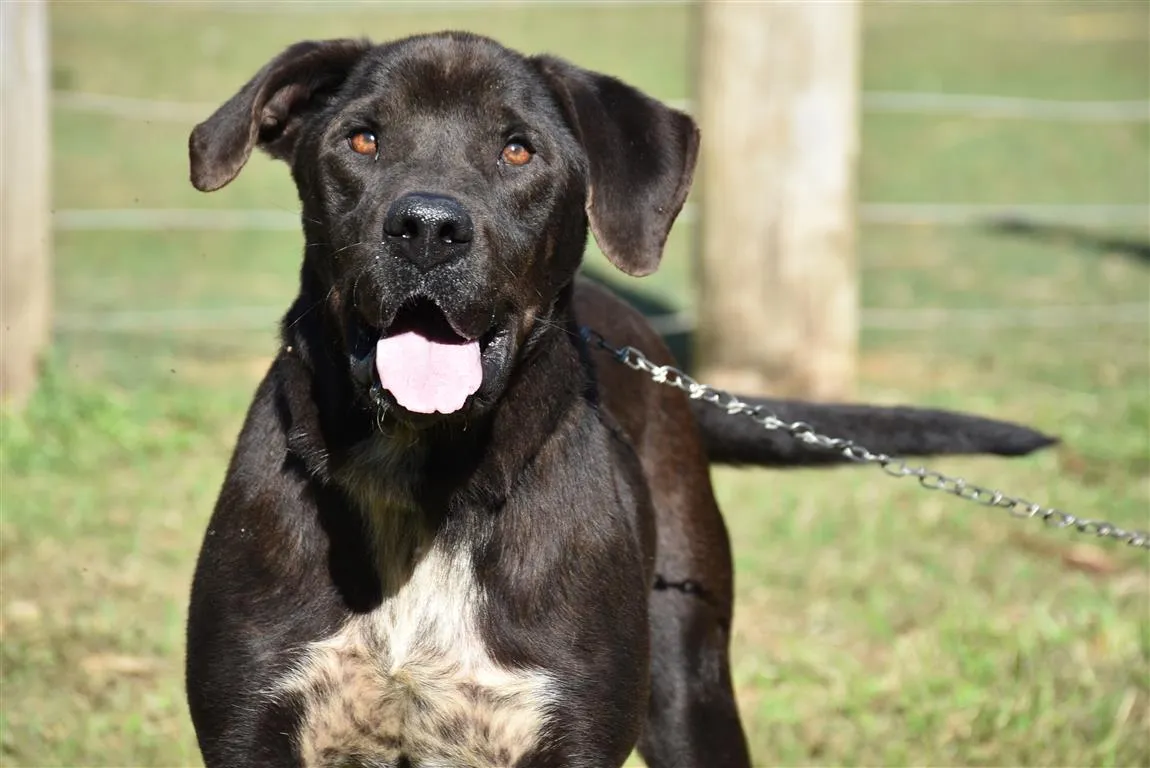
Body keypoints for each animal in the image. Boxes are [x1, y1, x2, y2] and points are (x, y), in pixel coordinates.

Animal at [184, 33, 1053, 763]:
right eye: (362, 139)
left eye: (517, 149)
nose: (427, 227)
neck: (429, 478)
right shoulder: (252, 723)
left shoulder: (575, 726)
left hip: (689, 679)